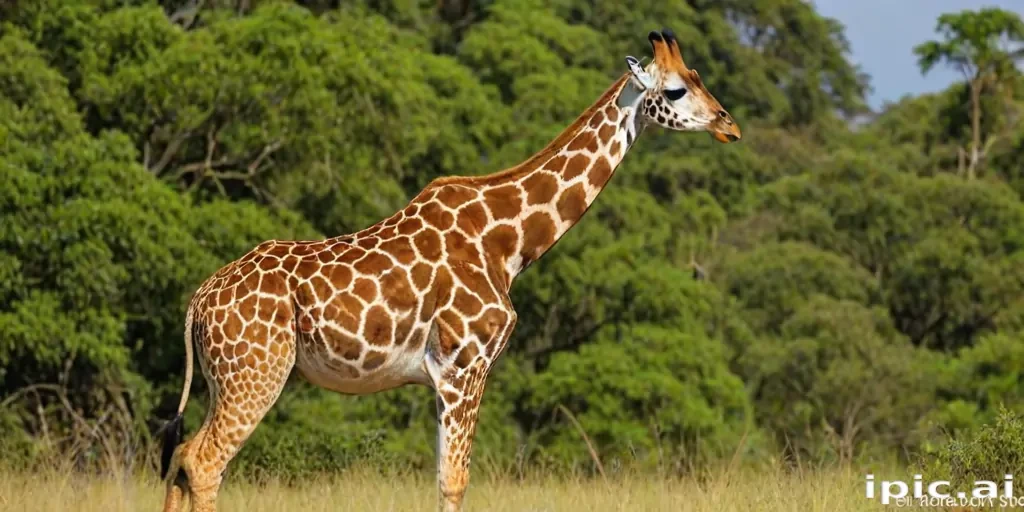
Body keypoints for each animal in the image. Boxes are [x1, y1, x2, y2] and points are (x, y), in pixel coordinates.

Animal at [159, 28, 741, 512]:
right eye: (675, 91)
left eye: (698, 77)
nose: (729, 125)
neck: (508, 242)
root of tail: (198, 301)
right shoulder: (465, 365)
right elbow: (455, 481)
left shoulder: (444, 376)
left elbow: (445, 478)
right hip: (256, 373)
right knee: (204, 463)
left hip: (222, 379)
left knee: (181, 456)